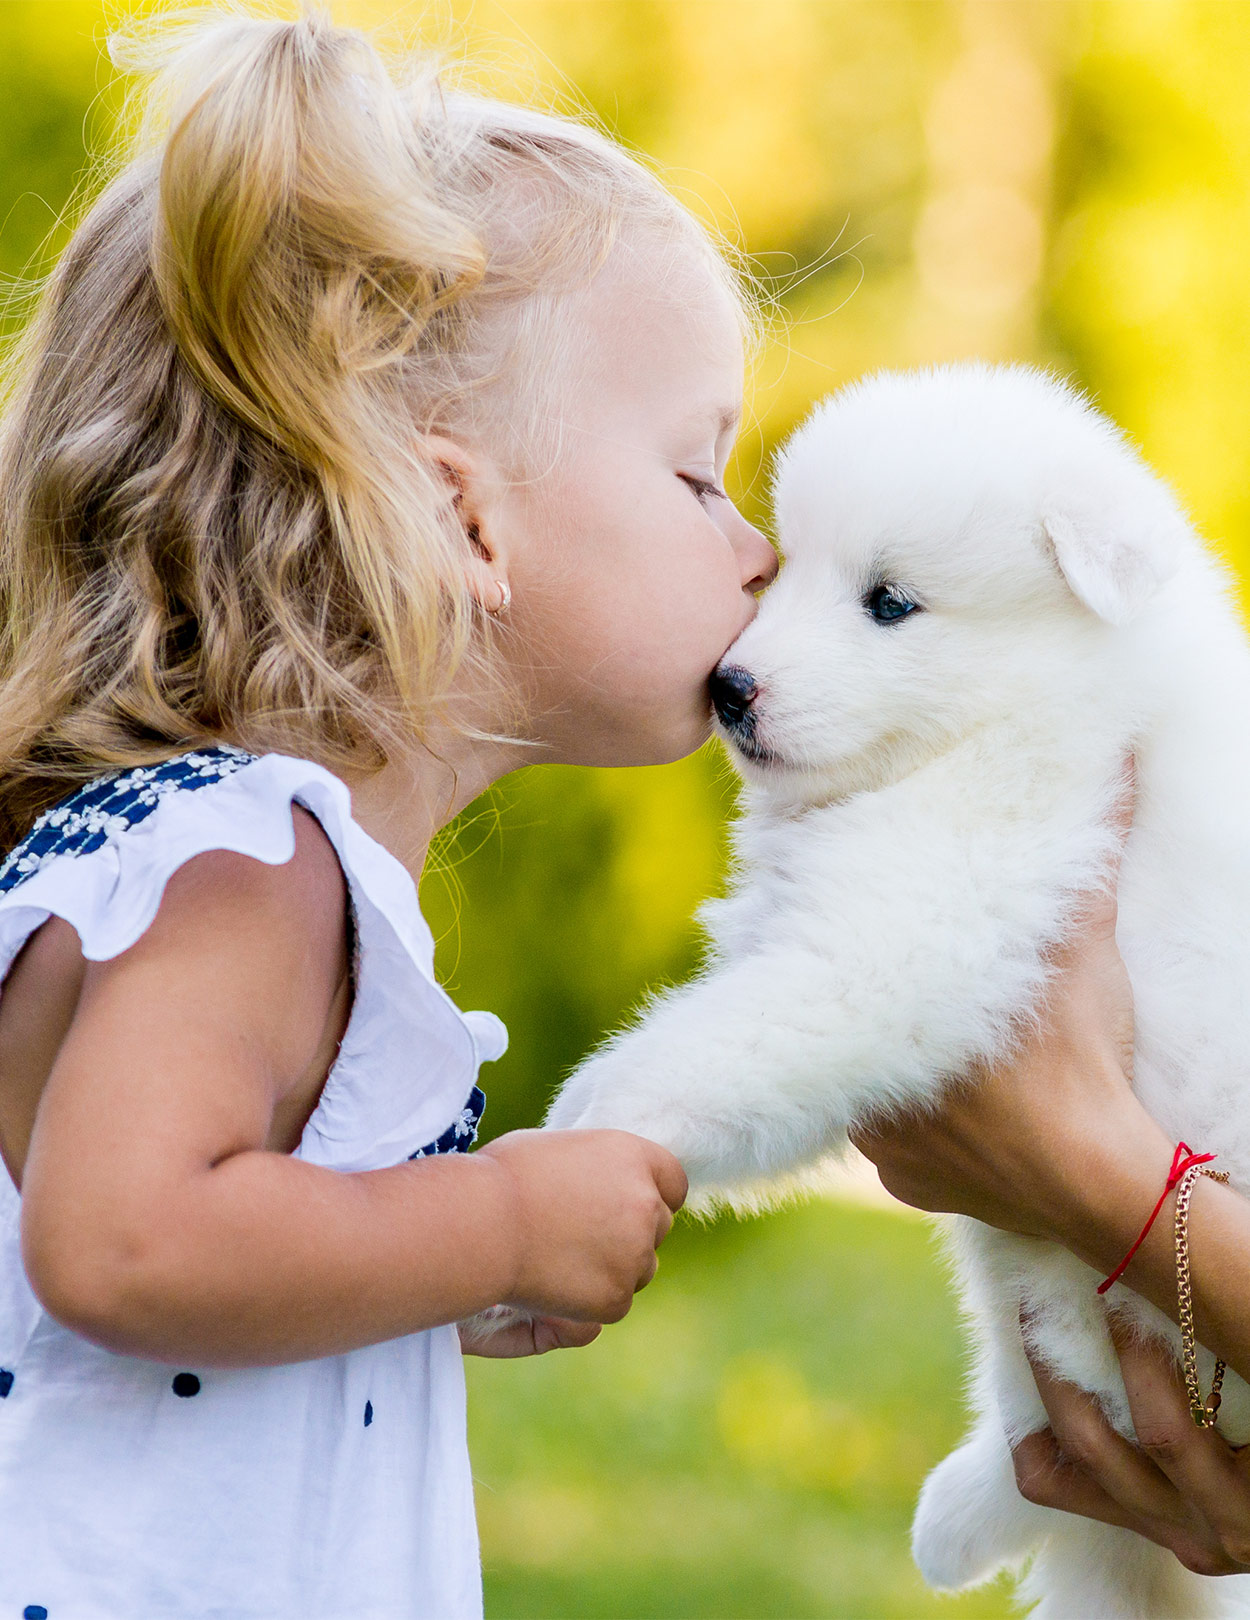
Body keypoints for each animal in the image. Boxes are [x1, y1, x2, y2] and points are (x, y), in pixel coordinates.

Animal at [547, 367, 1250, 1620]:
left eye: (888, 603)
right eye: (786, 568)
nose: (727, 689)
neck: (1026, 716)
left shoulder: (898, 940)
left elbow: (705, 1053)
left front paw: (562, 1146)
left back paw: (961, 1518)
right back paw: (955, 1520)